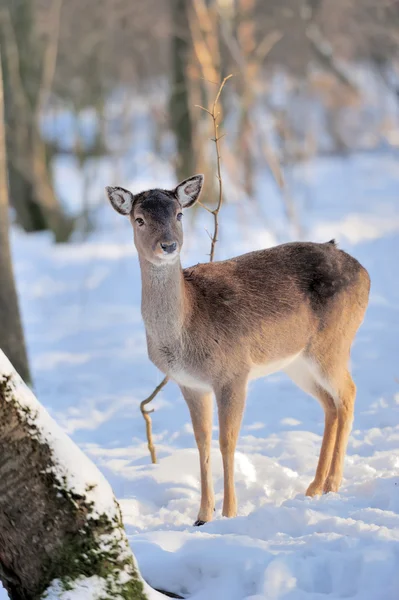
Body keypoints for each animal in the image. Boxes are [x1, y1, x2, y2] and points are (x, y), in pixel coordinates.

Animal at [105, 173, 372, 524]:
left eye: (178, 214)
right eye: (139, 219)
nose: (168, 245)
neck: (187, 325)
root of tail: (365, 272)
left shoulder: (233, 371)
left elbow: (227, 441)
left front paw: (229, 513)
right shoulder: (190, 384)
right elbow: (202, 442)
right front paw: (202, 515)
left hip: (334, 341)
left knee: (349, 393)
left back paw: (333, 484)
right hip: (297, 361)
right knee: (330, 404)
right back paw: (314, 487)